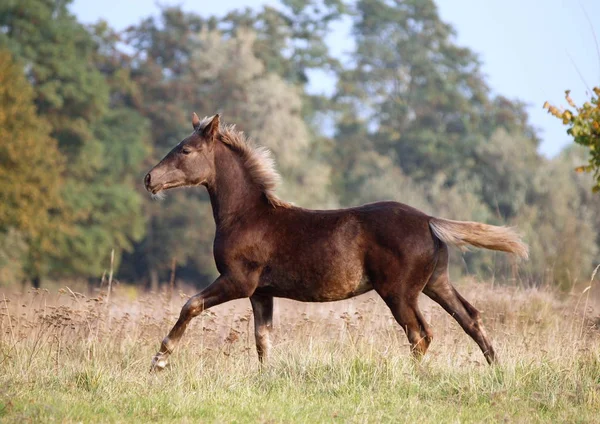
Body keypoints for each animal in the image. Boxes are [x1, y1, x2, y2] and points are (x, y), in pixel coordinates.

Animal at [143, 112, 528, 368]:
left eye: (185, 150)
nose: (149, 179)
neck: (245, 215)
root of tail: (430, 221)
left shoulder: (238, 280)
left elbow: (190, 304)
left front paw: (160, 360)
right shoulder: (261, 293)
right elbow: (263, 340)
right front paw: (267, 380)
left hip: (399, 291)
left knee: (421, 333)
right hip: (436, 281)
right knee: (470, 317)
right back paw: (496, 370)